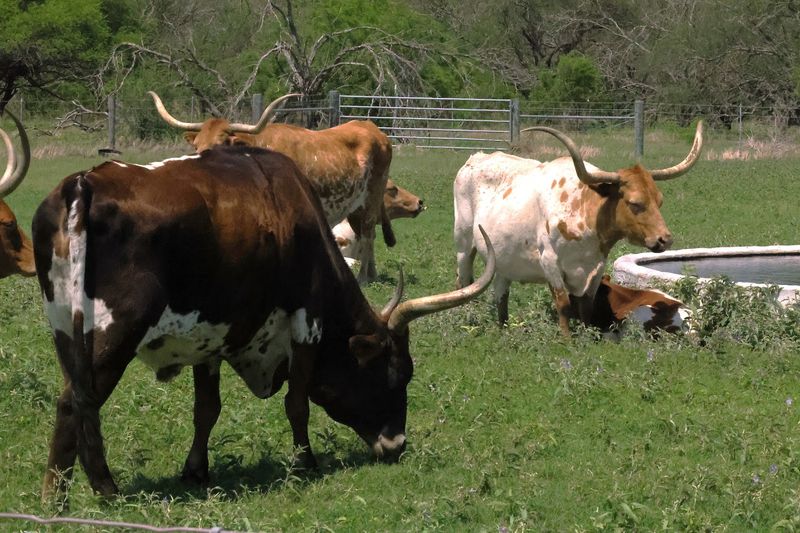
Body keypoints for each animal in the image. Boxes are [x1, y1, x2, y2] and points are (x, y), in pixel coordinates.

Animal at [33, 144, 495, 500]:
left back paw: (60, 494)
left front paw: (196, 470)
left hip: (67, 331)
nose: (396, 444)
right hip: (113, 334)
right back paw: (97, 489)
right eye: (396, 374)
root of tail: (83, 185)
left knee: (72, 402)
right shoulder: (307, 321)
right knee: (79, 402)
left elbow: (207, 409)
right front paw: (305, 462)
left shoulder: (212, 333)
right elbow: (297, 402)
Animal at [148, 91, 394, 284]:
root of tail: (371, 127)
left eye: (220, 144)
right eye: (197, 144)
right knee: (365, 234)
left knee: (368, 233)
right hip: (355, 205)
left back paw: (363, 278)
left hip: (372, 195)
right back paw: (371, 274)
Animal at [453, 121, 703, 336]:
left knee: (501, 292)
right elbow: (563, 304)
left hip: (502, 257)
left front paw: (586, 337)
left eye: (659, 201)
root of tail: (477, 158)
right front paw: (567, 341)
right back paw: (464, 319)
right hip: (463, 244)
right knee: (464, 281)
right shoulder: (550, 262)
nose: (664, 239)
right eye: (635, 203)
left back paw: (503, 328)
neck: (587, 215)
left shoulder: (595, 269)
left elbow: (585, 307)